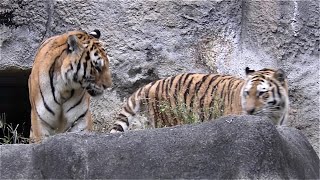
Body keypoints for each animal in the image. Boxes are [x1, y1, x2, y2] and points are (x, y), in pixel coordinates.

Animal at [110, 67, 290, 132]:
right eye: (247, 93)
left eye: (261, 93)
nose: (249, 111)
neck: (275, 113)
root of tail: (154, 83)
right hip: (168, 119)